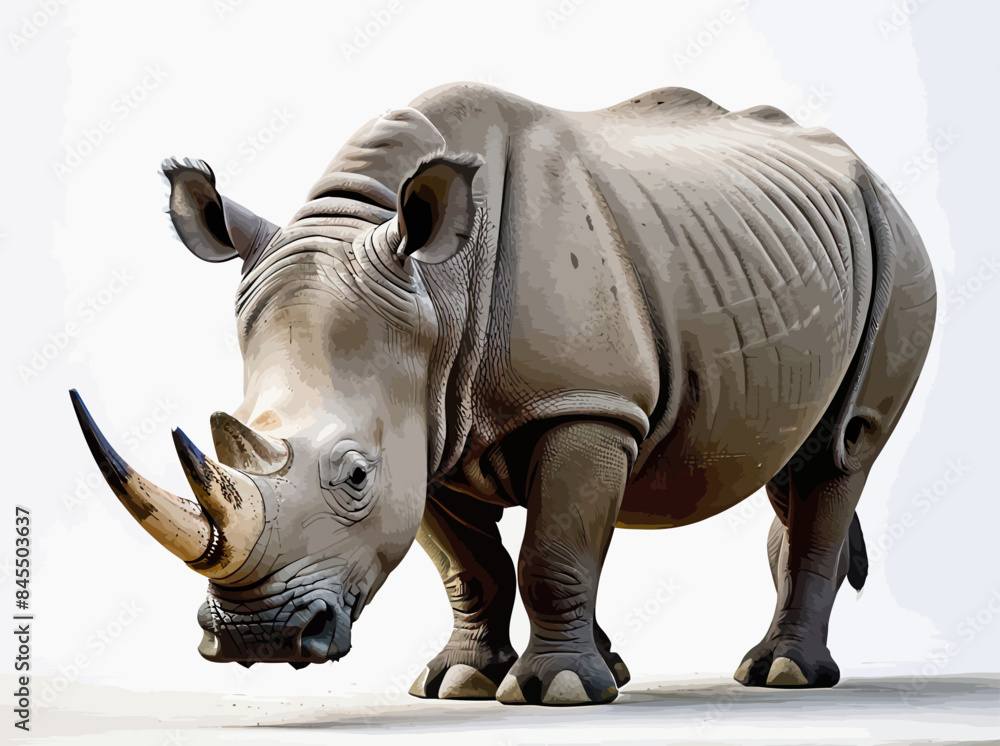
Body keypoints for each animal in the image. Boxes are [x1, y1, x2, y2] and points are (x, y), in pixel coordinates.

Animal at [71, 83, 936, 706]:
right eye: (229, 433)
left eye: (354, 476)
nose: (256, 639)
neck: (433, 292)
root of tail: (867, 172)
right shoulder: (428, 423)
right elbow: (472, 565)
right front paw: (461, 683)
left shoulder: (585, 404)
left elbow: (552, 548)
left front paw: (558, 691)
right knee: (796, 463)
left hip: (900, 245)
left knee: (841, 452)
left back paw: (782, 676)